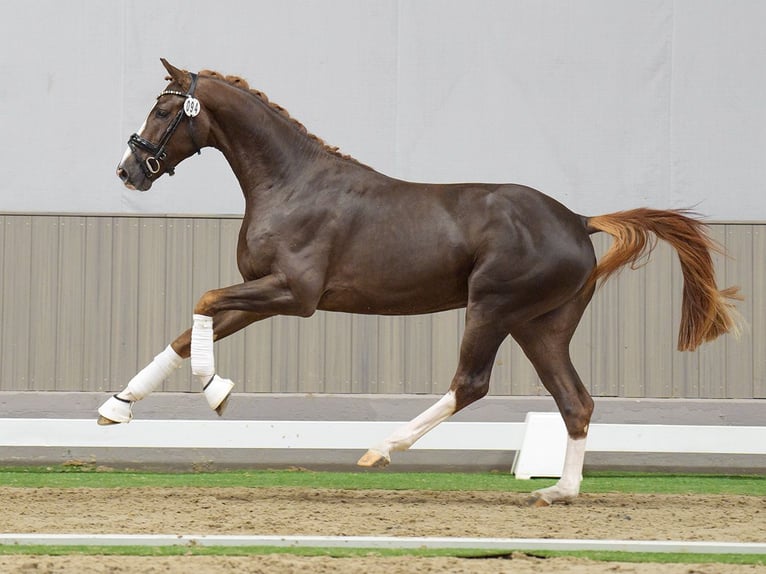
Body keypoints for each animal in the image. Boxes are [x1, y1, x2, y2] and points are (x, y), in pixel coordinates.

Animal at [97, 60, 744, 506]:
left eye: (163, 110)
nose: (128, 172)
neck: (291, 183)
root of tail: (577, 220)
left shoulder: (294, 295)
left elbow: (202, 302)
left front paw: (217, 391)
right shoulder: (263, 293)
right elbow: (190, 329)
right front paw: (116, 408)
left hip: (492, 308)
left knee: (472, 384)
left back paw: (380, 449)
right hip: (541, 327)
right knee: (575, 401)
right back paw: (558, 492)